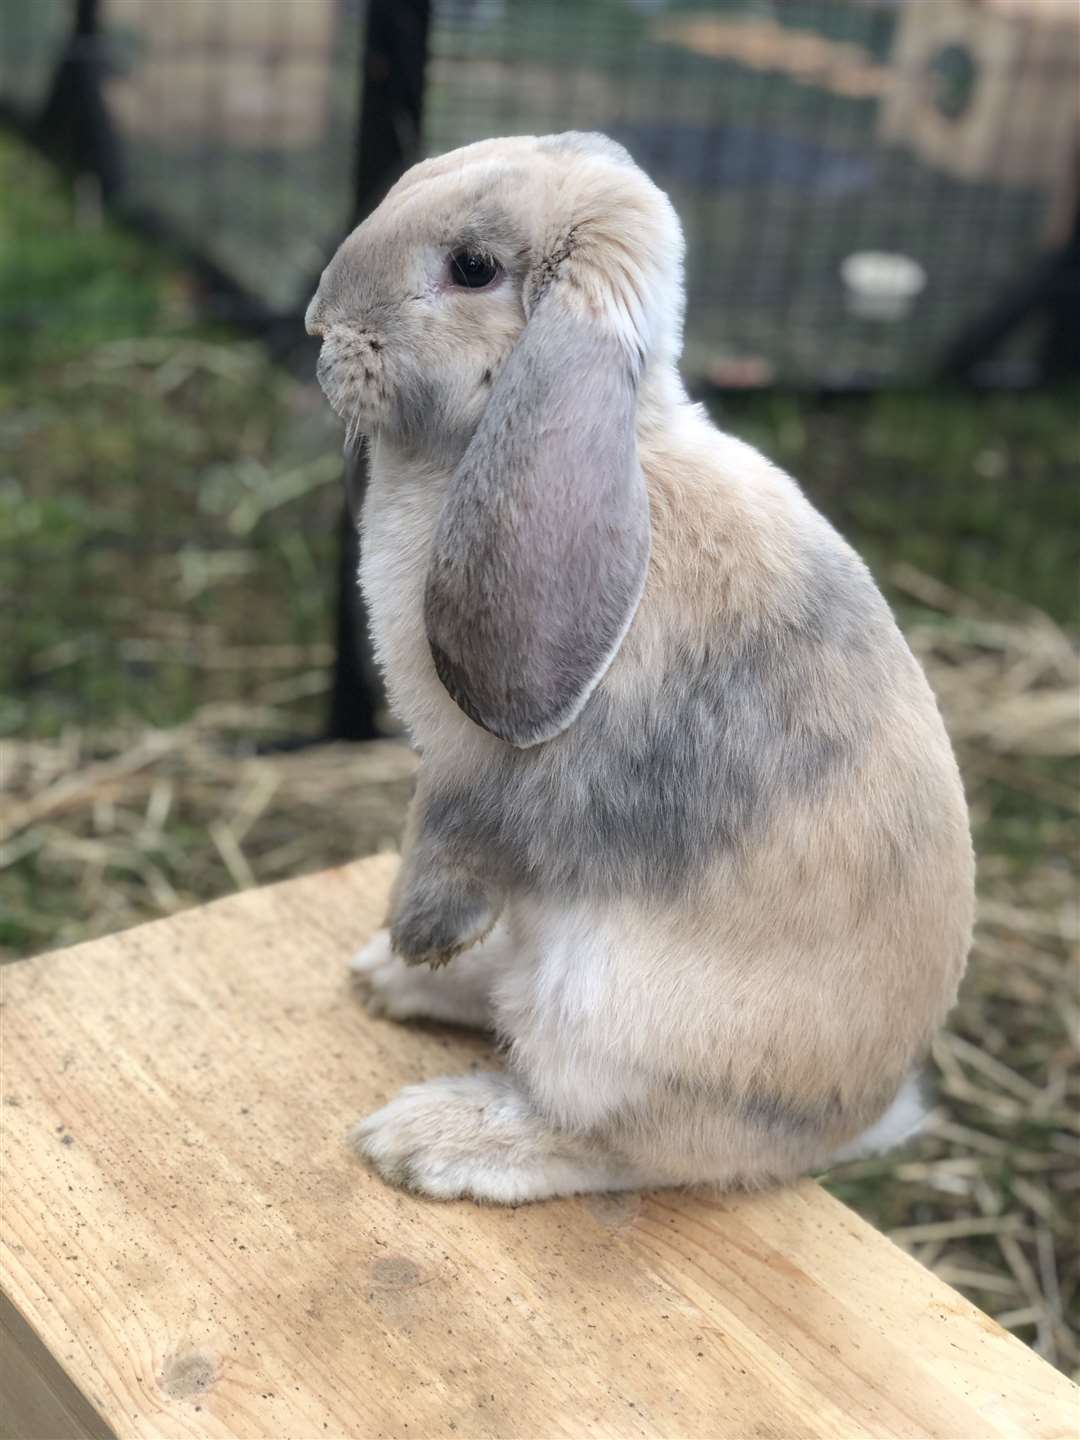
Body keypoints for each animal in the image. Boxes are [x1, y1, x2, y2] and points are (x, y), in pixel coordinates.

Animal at [306, 132, 979, 1203]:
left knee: (610, 1139)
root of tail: (848, 1122)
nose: (319, 328)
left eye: (472, 269)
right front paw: (407, 953)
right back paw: (398, 985)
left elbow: (445, 848)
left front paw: (416, 934)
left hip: (601, 1012)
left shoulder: (473, 771)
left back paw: (430, 1133)